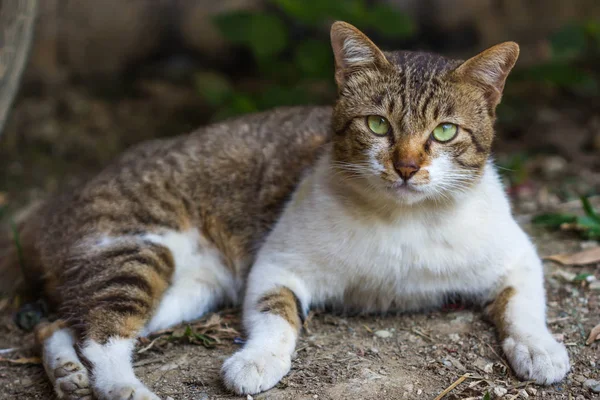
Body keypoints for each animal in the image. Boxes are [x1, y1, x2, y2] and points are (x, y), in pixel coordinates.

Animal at [1, 21, 572, 400]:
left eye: (446, 132)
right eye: (378, 125)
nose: (407, 166)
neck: (405, 221)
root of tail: (45, 209)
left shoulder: (519, 255)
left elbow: (524, 306)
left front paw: (541, 350)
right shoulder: (275, 264)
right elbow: (277, 317)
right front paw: (255, 362)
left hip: (185, 291)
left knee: (56, 325)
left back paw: (70, 377)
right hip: (134, 252)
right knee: (99, 334)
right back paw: (124, 388)